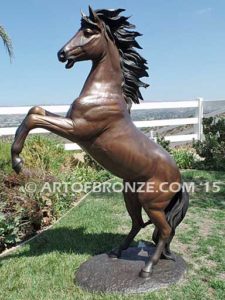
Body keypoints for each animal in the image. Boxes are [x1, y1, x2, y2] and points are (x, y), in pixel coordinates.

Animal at [11, 7, 188, 278]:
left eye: (87, 31)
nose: (61, 54)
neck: (103, 94)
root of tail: (179, 180)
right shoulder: (70, 122)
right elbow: (36, 110)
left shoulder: (77, 130)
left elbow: (33, 118)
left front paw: (18, 161)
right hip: (131, 195)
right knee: (139, 224)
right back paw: (117, 251)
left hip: (152, 203)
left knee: (165, 230)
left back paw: (147, 268)